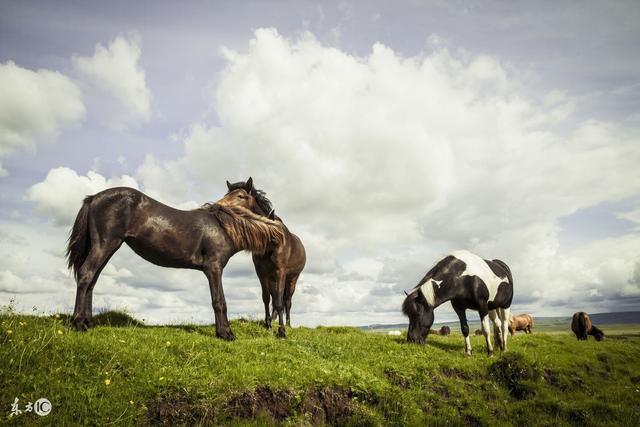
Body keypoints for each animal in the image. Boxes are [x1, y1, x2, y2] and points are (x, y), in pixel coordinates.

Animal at [66, 187, 284, 342]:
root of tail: (93, 198)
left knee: (92, 280)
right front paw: (225, 334)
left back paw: (88, 322)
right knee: (86, 275)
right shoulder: (214, 268)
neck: (224, 226)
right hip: (105, 245)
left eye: (240, 195)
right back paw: (77, 323)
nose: (215, 205)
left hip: (108, 248)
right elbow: (219, 301)